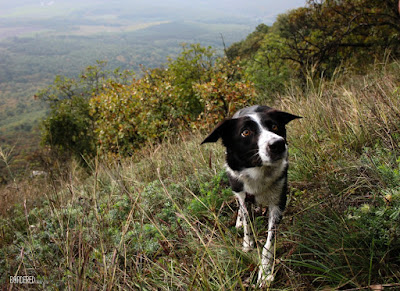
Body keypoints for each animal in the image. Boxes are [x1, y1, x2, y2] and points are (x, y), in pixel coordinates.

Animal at [202, 105, 302, 288]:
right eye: (245, 132)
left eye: (275, 126)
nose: (278, 144)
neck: (259, 171)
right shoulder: (242, 193)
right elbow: (248, 222)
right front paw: (248, 243)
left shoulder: (278, 202)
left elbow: (269, 243)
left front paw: (265, 272)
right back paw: (240, 222)